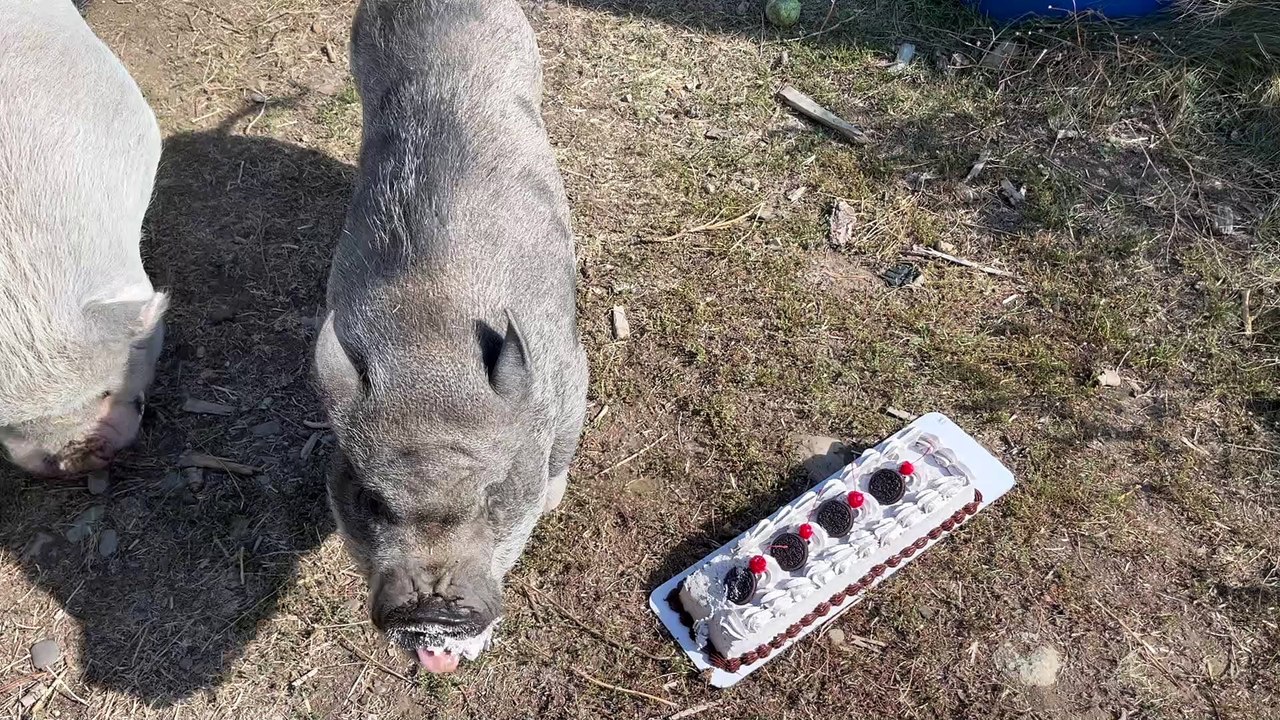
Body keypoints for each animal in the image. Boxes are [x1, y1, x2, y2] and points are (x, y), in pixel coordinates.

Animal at [312, 0, 588, 674]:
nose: (430, 610)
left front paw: (550, 501)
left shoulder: (572, 368)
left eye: (493, 496)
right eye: (371, 500)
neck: (431, 343)